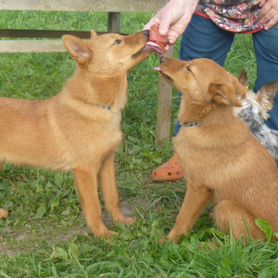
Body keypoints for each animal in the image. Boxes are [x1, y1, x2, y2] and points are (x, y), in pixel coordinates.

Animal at [0, 31, 151, 239]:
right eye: (117, 42)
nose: (148, 32)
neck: (95, 106)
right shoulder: (85, 171)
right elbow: (95, 207)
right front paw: (104, 236)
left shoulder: (107, 163)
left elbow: (112, 198)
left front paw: (121, 222)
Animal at [156, 57, 278, 243]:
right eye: (188, 61)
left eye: (189, 69)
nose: (162, 57)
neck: (204, 121)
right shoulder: (204, 192)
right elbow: (189, 220)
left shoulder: (198, 188)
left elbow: (182, 218)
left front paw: (168, 242)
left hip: (226, 207)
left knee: (242, 243)